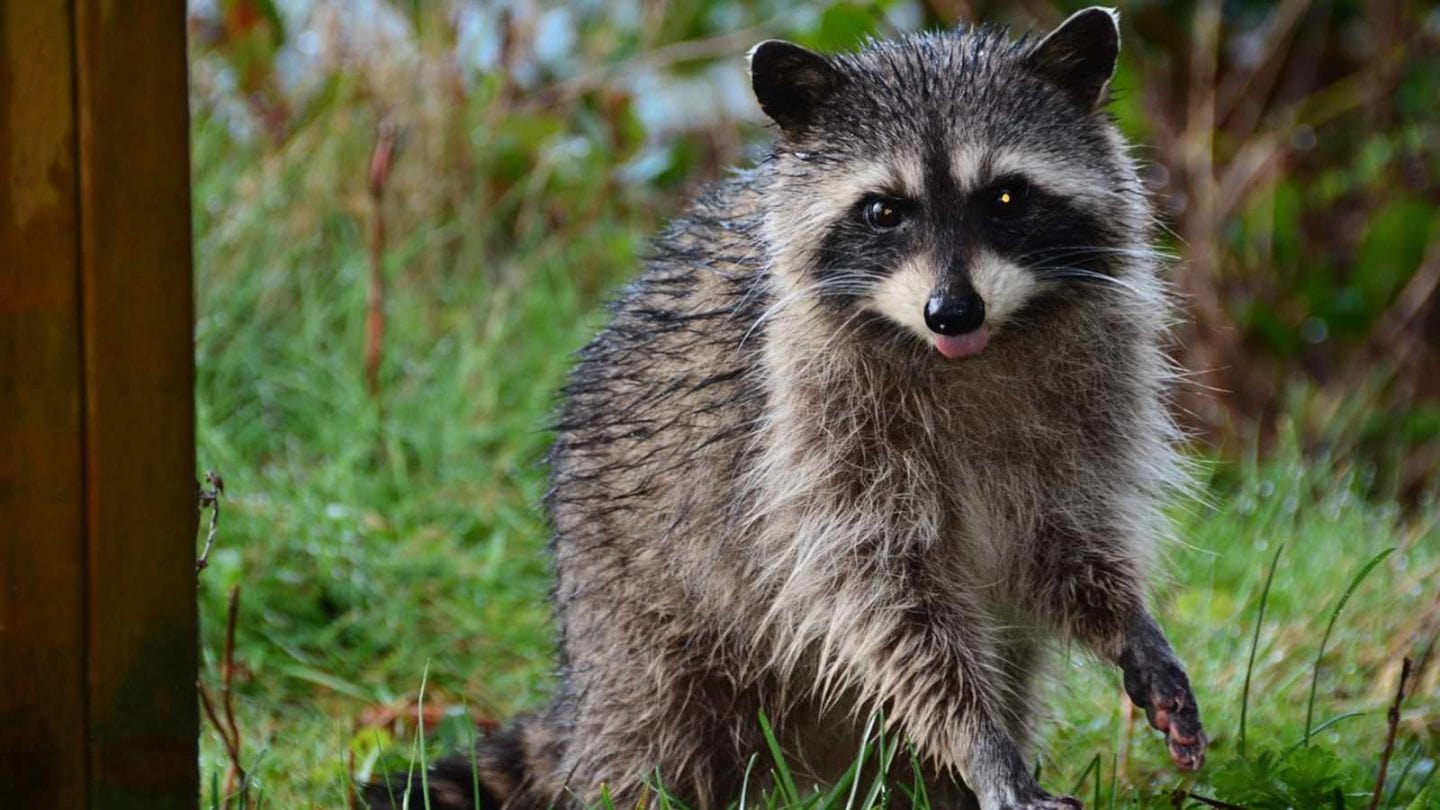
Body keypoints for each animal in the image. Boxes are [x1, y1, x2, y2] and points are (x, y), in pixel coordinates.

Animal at [367, 8, 1206, 810]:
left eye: (1006, 197)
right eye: (883, 211)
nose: (952, 312)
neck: (971, 354)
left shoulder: (1093, 394)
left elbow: (1065, 539)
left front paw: (1126, 623)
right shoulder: (810, 431)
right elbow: (884, 599)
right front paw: (978, 741)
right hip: (634, 608)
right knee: (655, 734)